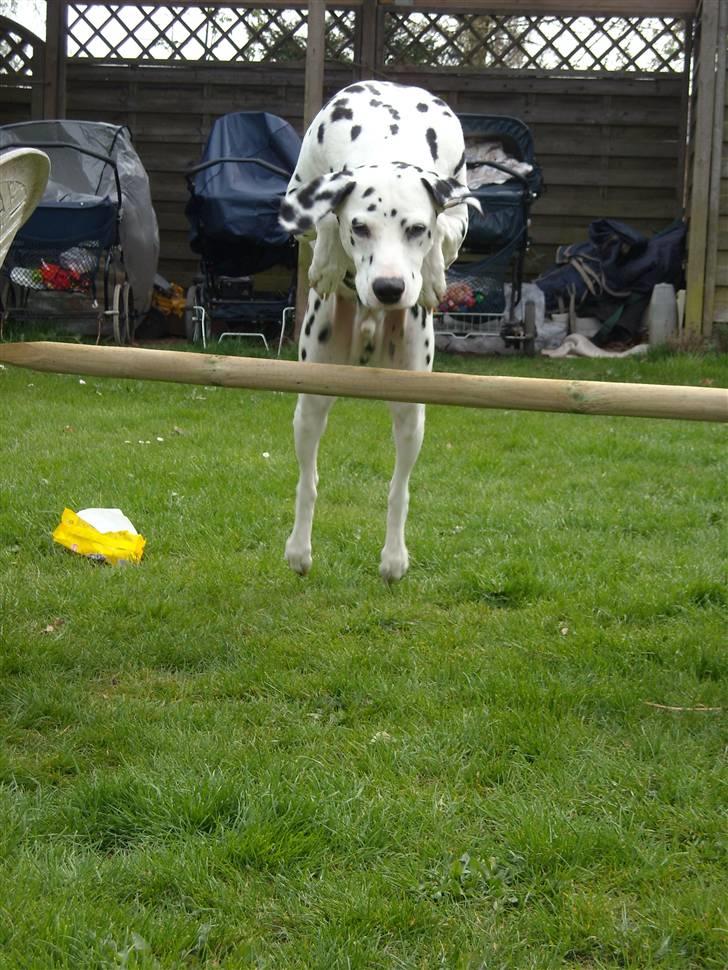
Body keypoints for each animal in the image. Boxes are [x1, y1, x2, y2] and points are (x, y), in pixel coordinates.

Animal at [278, 79, 478, 580]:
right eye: (360, 227)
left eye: (415, 229)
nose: (389, 289)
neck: (388, 130)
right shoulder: (298, 198)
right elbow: (323, 219)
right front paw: (329, 261)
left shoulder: (459, 215)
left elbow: (446, 231)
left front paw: (432, 275)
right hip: (311, 402)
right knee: (308, 480)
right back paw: (299, 549)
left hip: (411, 412)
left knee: (398, 488)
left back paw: (393, 557)